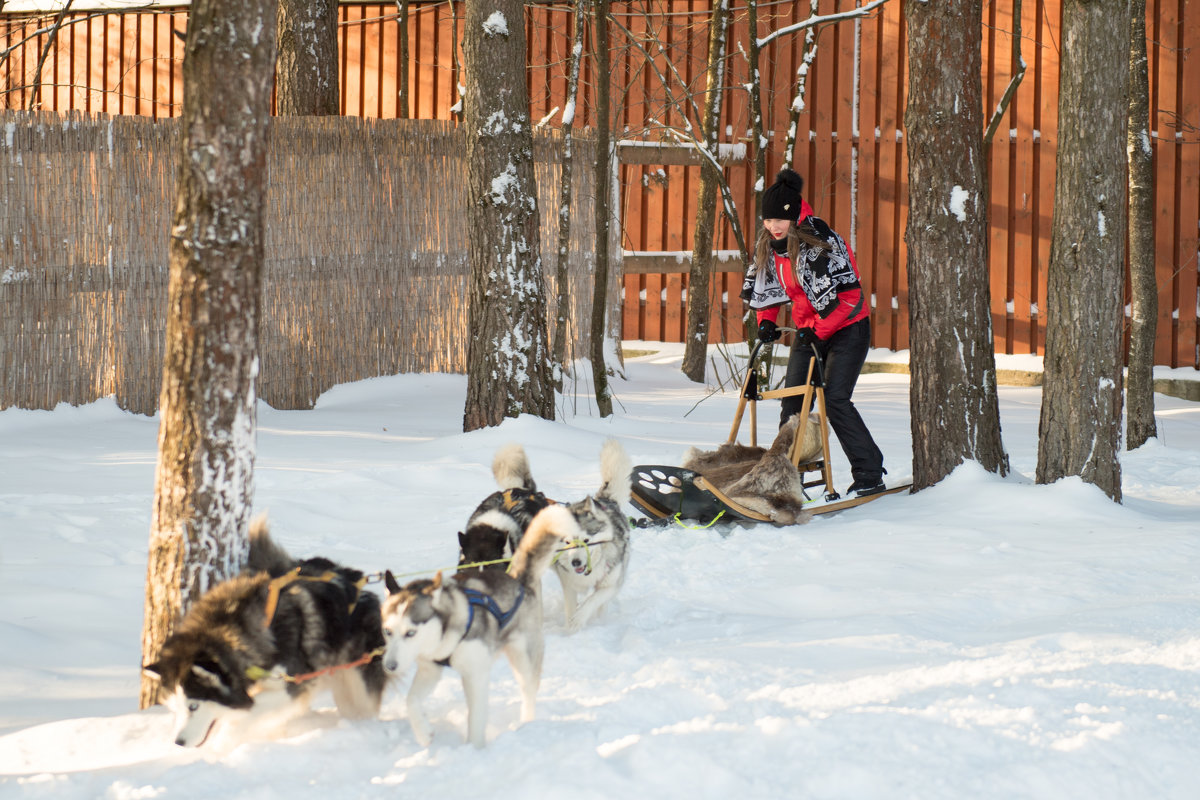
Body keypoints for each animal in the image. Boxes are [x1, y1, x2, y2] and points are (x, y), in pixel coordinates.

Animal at [141, 520, 386, 753]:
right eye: (173, 706)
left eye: (193, 706)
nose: (178, 743)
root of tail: (361, 585)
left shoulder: (291, 685)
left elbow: (245, 712)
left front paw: (221, 746)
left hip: (357, 685)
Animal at [379, 506, 576, 753]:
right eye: (388, 631)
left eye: (410, 633)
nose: (389, 666)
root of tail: (519, 579)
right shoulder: (430, 669)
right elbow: (411, 701)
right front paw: (424, 733)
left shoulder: (476, 674)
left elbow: (476, 717)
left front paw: (475, 748)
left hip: (524, 659)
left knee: (528, 692)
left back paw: (527, 724)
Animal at [552, 438, 633, 633]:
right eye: (568, 542)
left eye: (586, 540)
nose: (575, 562)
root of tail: (604, 500)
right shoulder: (569, 584)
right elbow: (571, 606)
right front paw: (569, 628)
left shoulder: (610, 584)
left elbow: (592, 601)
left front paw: (579, 620)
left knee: (601, 605)